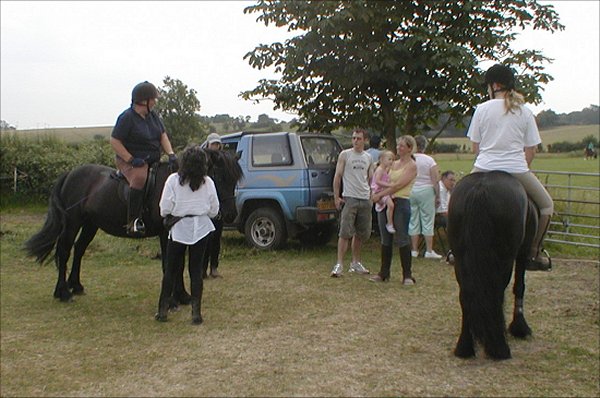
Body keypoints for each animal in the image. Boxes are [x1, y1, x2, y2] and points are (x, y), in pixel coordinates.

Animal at [23, 148, 244, 302]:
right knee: (64, 251)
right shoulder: (165, 233)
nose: (231, 214)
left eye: (235, 179)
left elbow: (179, 263)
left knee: (79, 249)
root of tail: (70, 173)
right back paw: (63, 293)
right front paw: (174, 299)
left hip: (90, 224)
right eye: (220, 177)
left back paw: (75, 286)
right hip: (72, 223)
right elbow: (171, 264)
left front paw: (182, 296)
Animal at [450, 171, 540, 360]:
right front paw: (520, 327)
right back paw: (499, 348)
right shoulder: (522, 252)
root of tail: (480, 189)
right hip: (504, 259)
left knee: (465, 295)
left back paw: (465, 347)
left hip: (461, 259)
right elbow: (519, 286)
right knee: (497, 293)